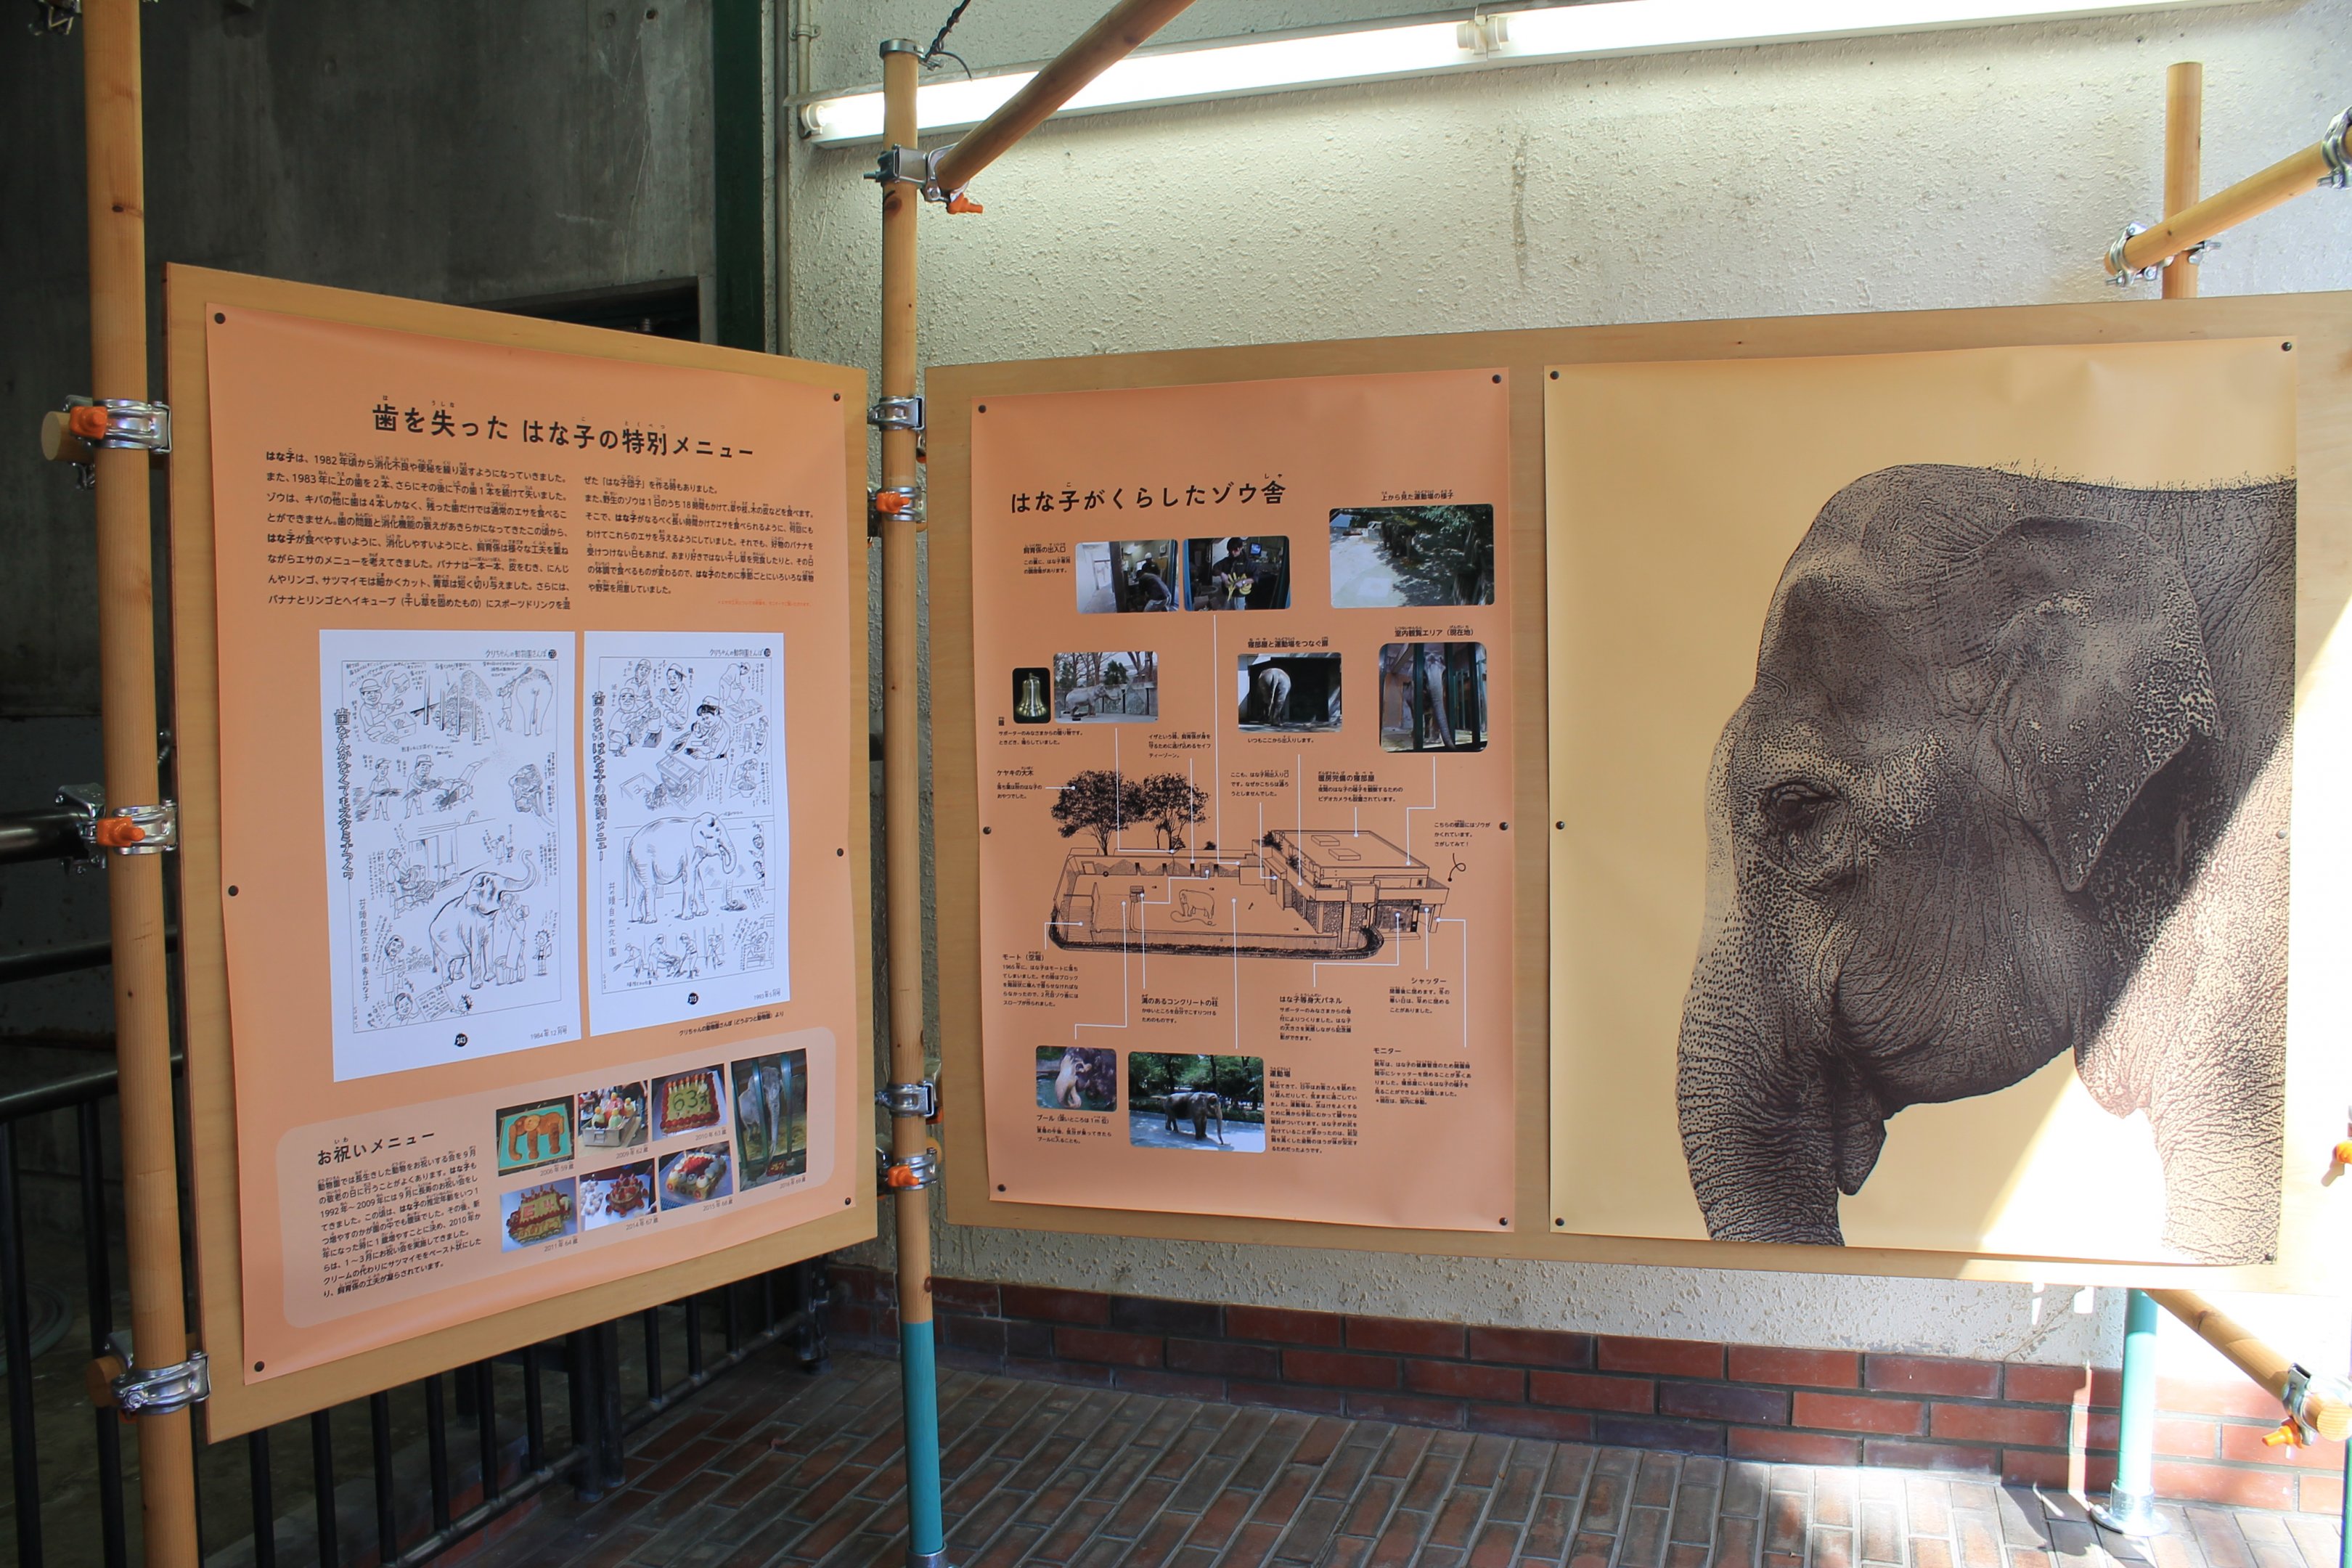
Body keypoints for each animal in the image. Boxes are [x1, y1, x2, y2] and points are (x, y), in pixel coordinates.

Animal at [427, 858, 539, 990]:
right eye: (488, 882)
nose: (527, 854)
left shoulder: (488, 925)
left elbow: (489, 943)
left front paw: (490, 978)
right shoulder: (470, 925)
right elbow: (475, 948)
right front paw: (477, 986)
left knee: (460, 958)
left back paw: (459, 977)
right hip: (437, 944)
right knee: (445, 961)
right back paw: (448, 983)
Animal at [625, 813, 738, 922]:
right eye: (712, 836)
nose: (722, 854)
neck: (696, 820)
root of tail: (631, 843)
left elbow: (697, 880)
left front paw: (702, 913)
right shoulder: (689, 852)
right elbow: (690, 880)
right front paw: (688, 917)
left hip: (635, 863)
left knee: (640, 888)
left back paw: (637, 919)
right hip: (643, 860)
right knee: (650, 886)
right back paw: (650, 921)